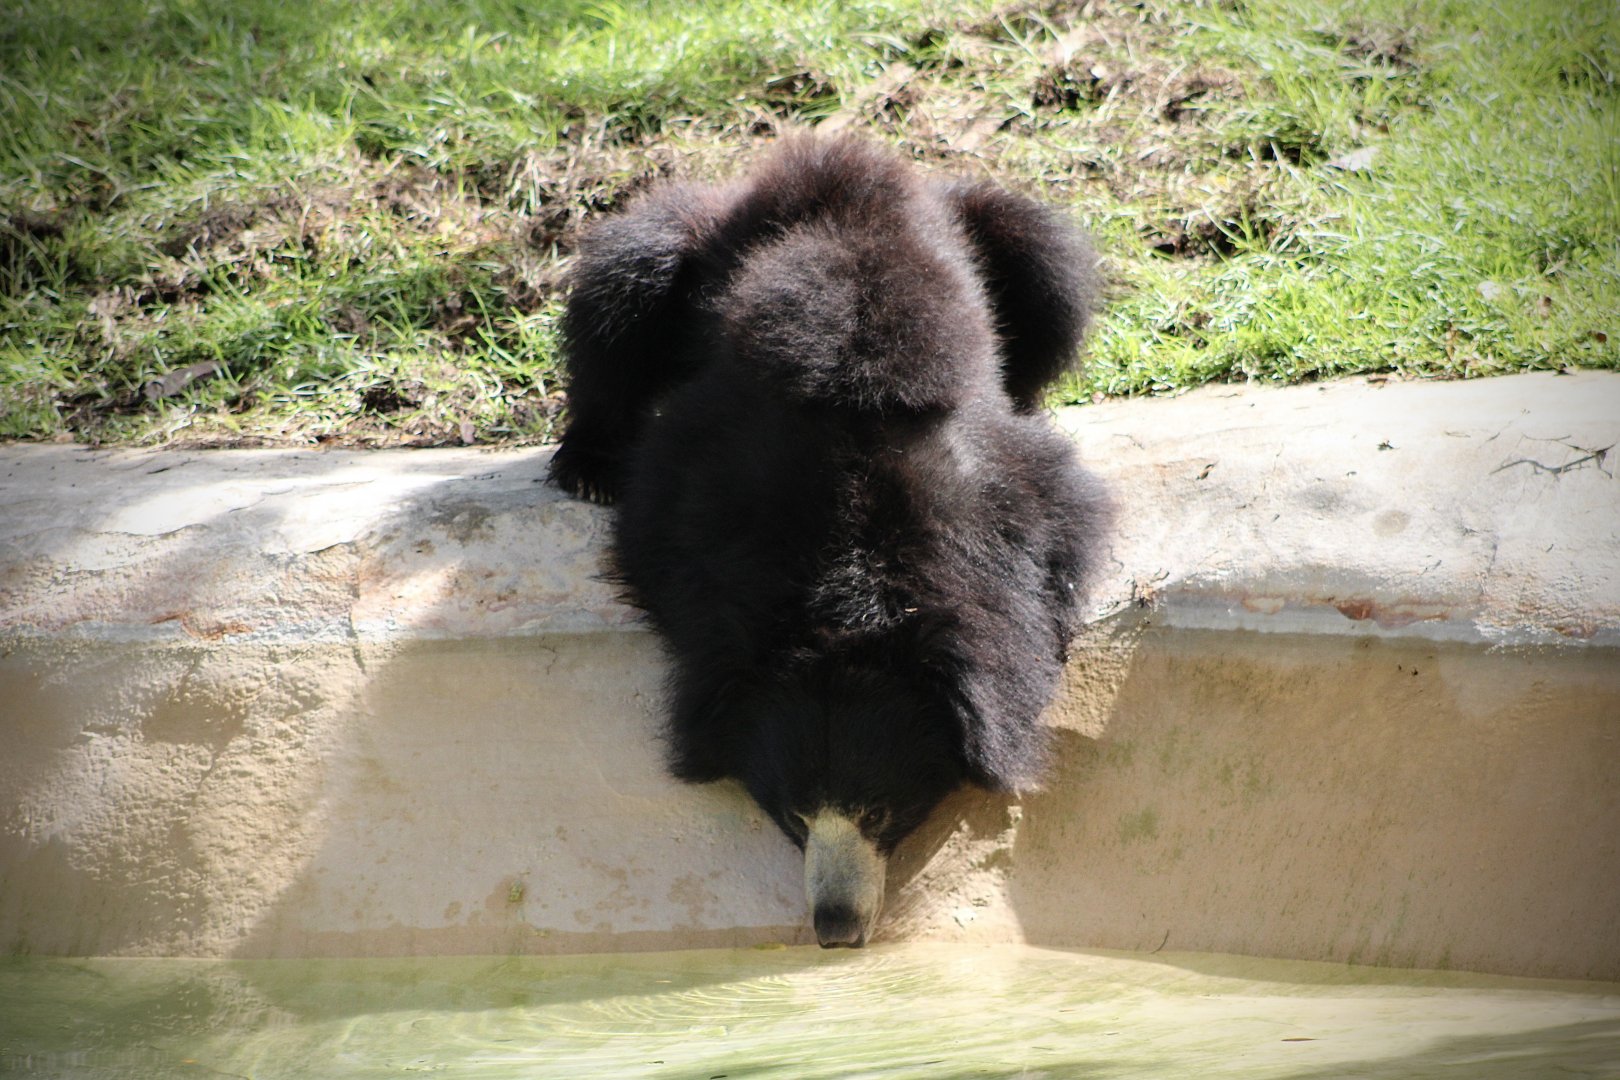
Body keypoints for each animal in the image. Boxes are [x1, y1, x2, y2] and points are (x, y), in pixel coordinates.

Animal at [549, 136, 1108, 948]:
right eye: (794, 813)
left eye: (881, 810)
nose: (836, 926)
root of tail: (828, 158)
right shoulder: (705, 485)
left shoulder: (998, 485)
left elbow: (1062, 529)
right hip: (669, 246)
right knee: (616, 295)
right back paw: (587, 465)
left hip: (1013, 237)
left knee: (1050, 272)